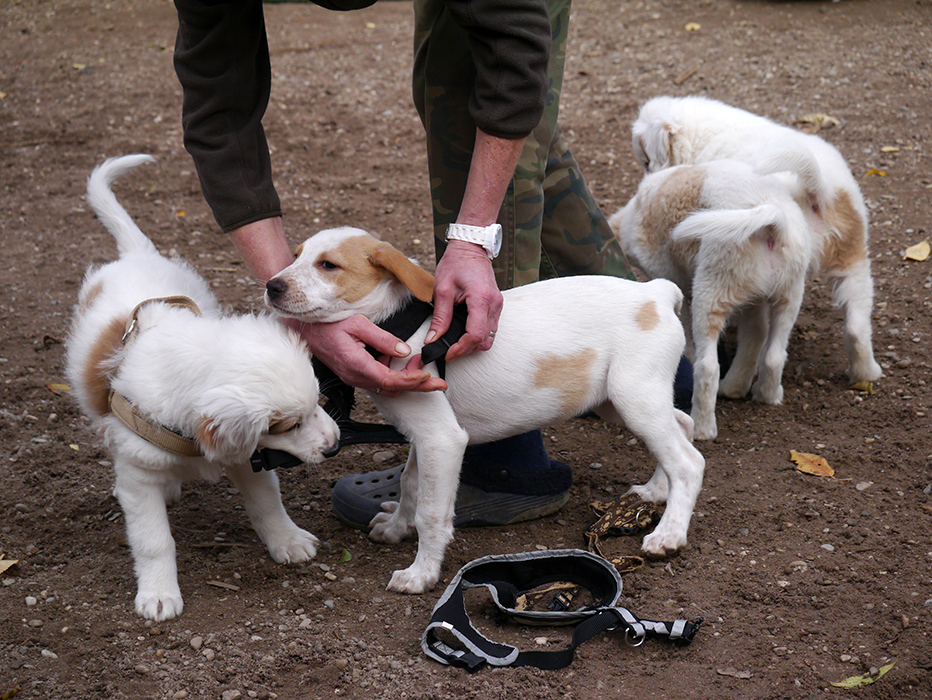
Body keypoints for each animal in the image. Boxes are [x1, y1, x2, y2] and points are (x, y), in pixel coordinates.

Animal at [66, 155, 340, 621]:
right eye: (289, 426)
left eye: (320, 403)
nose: (335, 445)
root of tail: (137, 256)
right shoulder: (139, 476)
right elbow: (154, 539)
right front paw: (159, 594)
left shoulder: (246, 454)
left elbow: (268, 504)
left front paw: (287, 541)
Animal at [263, 226, 705, 594]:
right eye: (296, 255)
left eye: (328, 265)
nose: (271, 286)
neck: (400, 326)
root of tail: (656, 292)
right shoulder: (423, 435)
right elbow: (410, 484)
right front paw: (395, 527)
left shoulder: (443, 439)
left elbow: (431, 514)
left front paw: (421, 574)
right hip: (617, 401)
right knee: (681, 425)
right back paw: (656, 490)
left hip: (634, 399)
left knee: (689, 461)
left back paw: (668, 536)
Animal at [609, 153, 820, 439]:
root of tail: (772, 219)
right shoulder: (755, 301)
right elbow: (756, 335)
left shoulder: (677, 284)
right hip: (788, 295)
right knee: (774, 354)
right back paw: (765, 395)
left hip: (710, 292)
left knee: (708, 367)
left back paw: (702, 428)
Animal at [632, 95, 882, 384]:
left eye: (646, 161)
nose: (648, 184)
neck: (700, 136)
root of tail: (818, 189)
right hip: (852, 259)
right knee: (856, 324)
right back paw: (866, 373)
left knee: (758, 336)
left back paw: (735, 383)